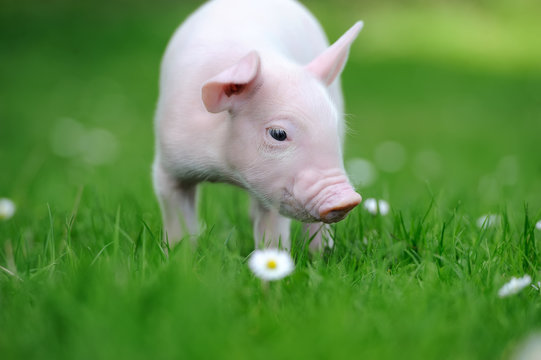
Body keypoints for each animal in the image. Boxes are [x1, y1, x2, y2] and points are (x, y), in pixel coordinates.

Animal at [152, 0, 362, 252]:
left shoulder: (276, 188)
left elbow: (272, 229)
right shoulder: (167, 165)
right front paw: (179, 256)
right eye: (278, 134)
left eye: (333, 127)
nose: (347, 200)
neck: (225, 170)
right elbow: (178, 222)